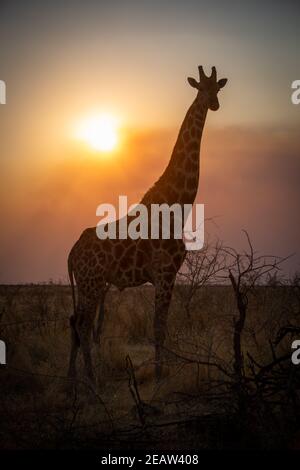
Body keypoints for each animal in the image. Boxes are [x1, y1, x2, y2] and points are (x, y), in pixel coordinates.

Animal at [67, 65, 227, 382]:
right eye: (201, 88)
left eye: (217, 88)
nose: (213, 104)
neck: (178, 205)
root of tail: (72, 253)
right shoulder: (165, 273)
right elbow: (158, 327)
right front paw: (159, 374)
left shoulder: (166, 275)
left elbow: (160, 326)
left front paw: (160, 371)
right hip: (91, 283)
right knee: (81, 325)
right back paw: (90, 379)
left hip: (88, 284)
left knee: (75, 323)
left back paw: (71, 380)